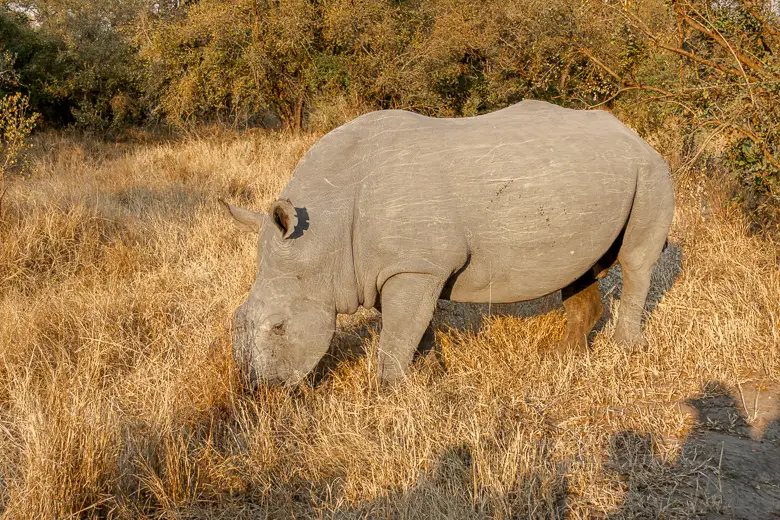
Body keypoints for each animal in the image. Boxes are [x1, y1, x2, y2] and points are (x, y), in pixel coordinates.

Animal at [223, 100, 674, 386]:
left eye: (279, 327)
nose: (257, 389)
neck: (324, 237)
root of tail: (633, 133)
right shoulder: (399, 267)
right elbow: (411, 330)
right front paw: (430, 378)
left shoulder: (415, 266)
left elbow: (396, 337)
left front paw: (390, 395)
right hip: (594, 176)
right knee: (580, 266)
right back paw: (564, 360)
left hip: (651, 170)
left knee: (636, 261)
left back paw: (624, 353)